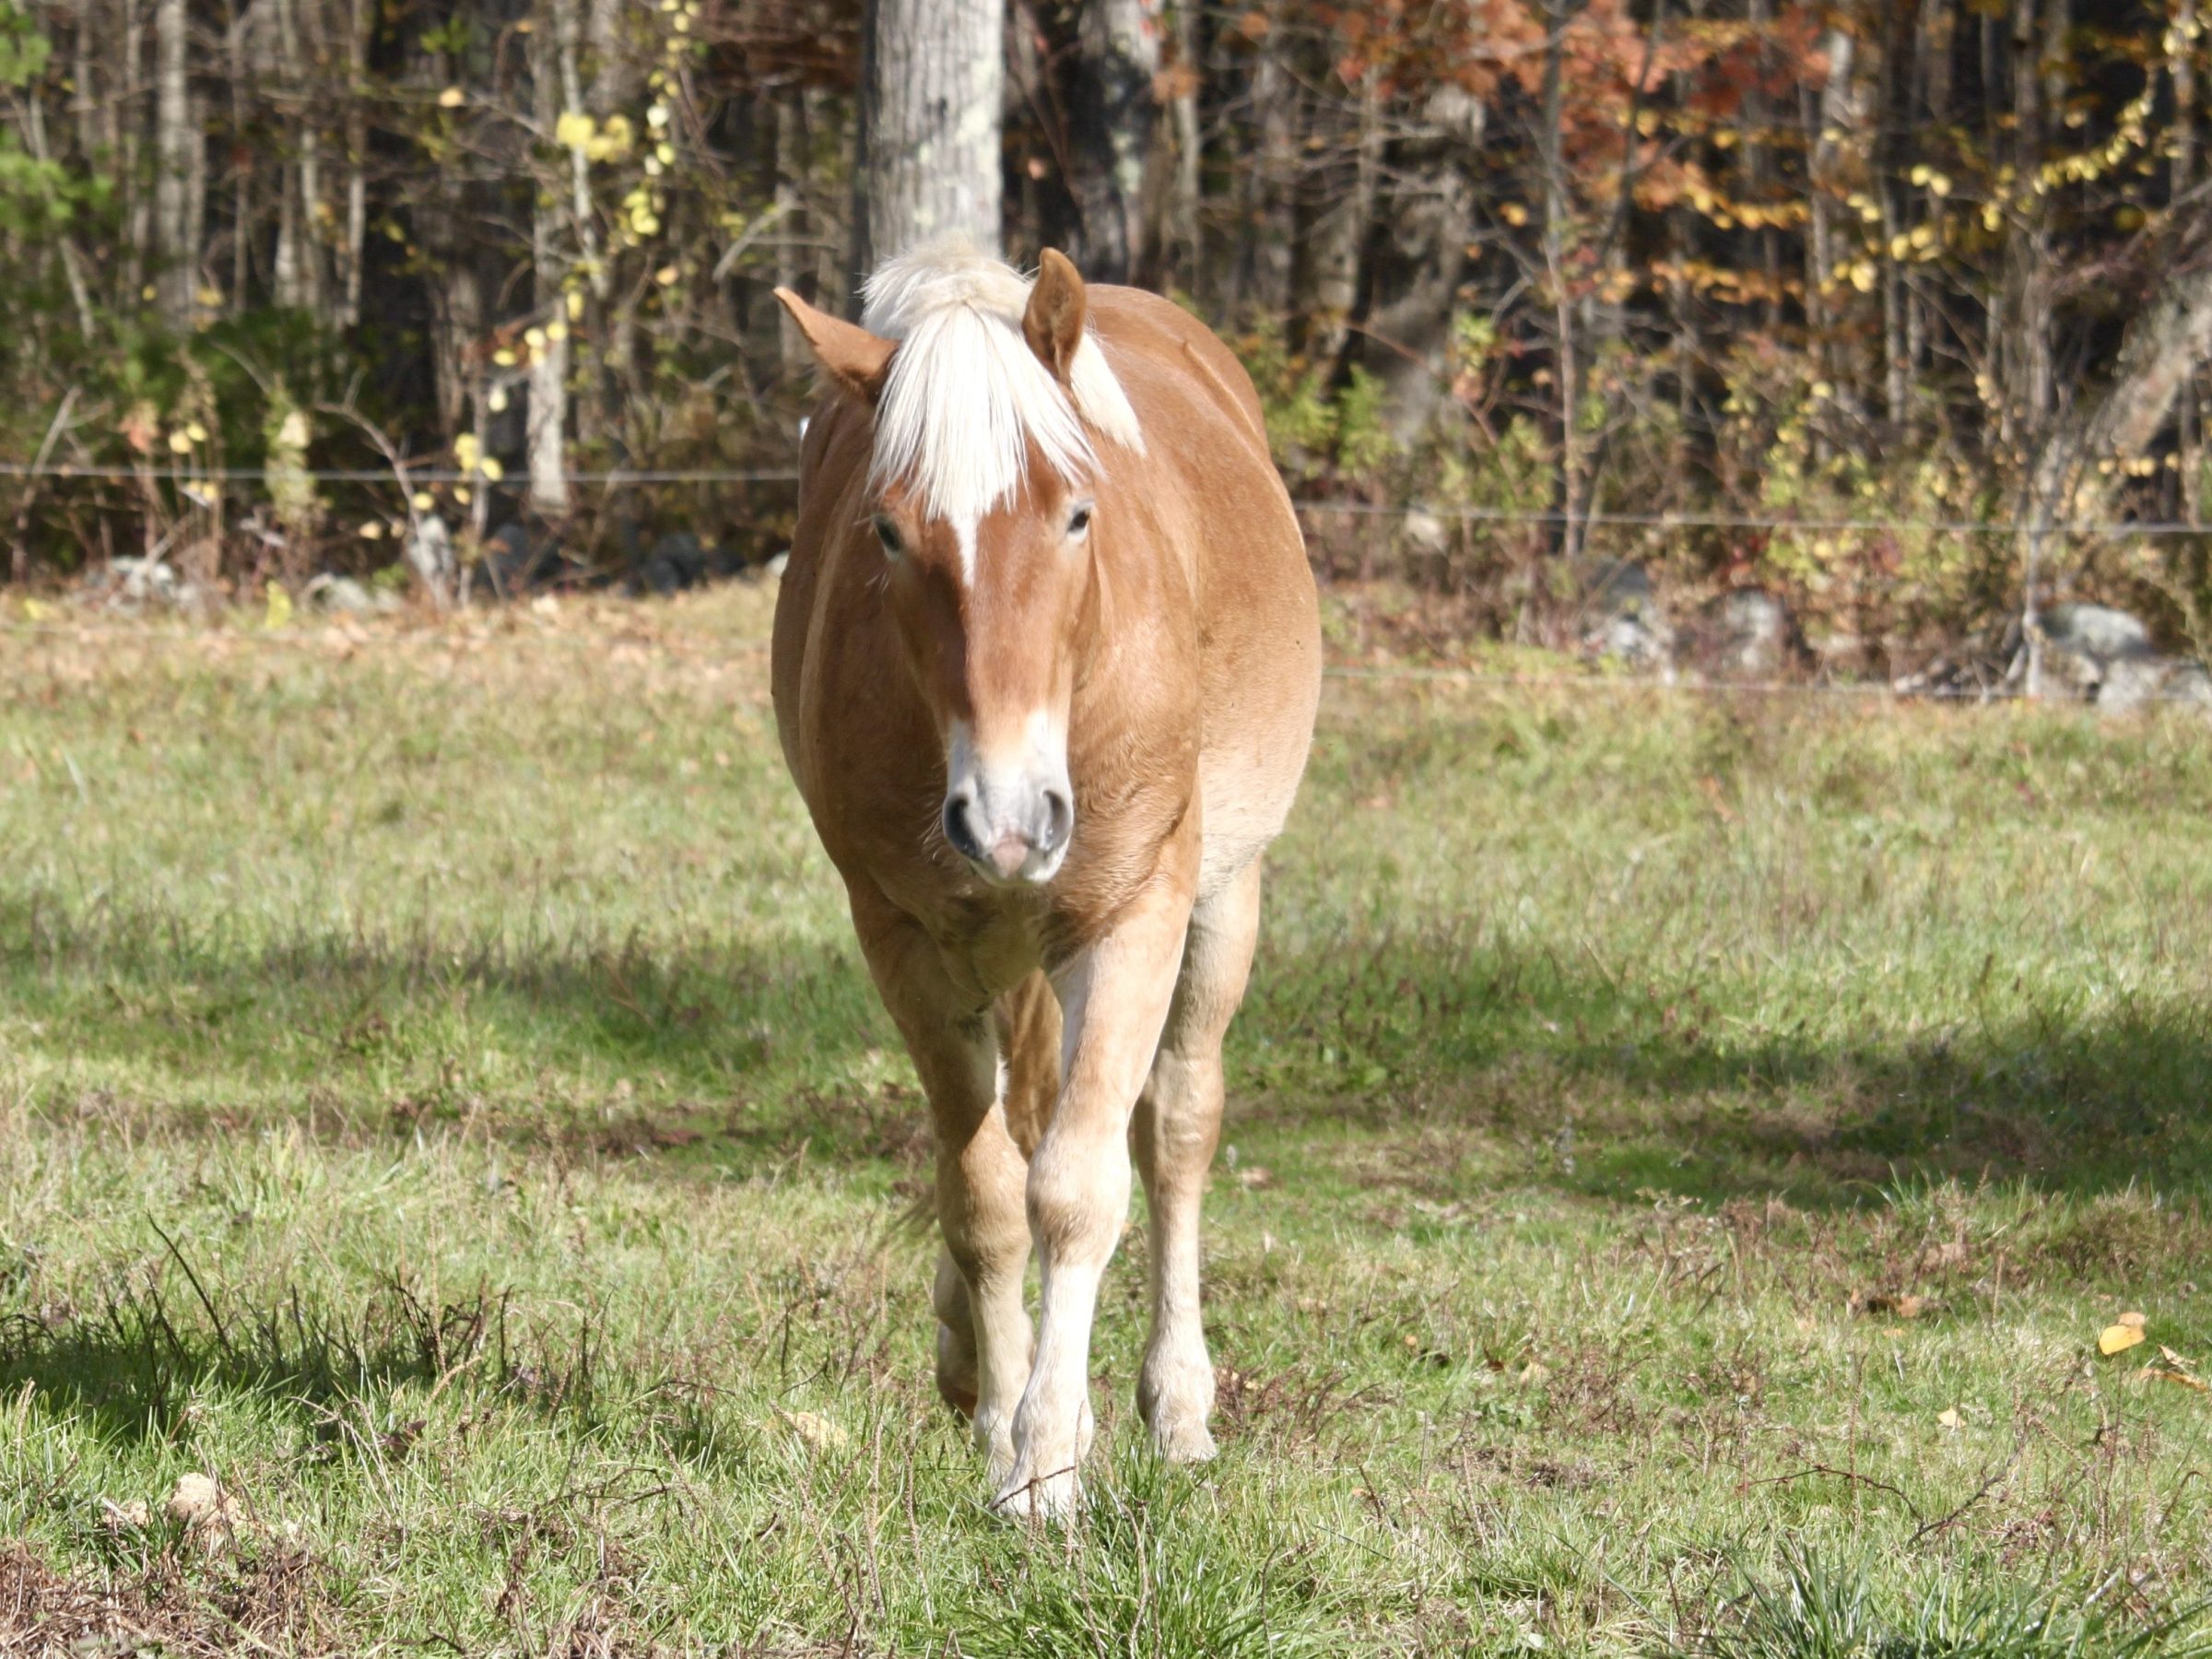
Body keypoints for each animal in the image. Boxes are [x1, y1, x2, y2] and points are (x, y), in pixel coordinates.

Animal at [771, 239, 1321, 1519]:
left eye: (1076, 514)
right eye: (886, 532)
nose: (1011, 818)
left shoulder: (1133, 919)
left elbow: (1076, 1188)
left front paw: (1046, 1466)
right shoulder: (906, 941)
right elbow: (984, 1195)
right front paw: (1000, 1424)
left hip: (1221, 908)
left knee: (1173, 1130)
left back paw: (1177, 1409)